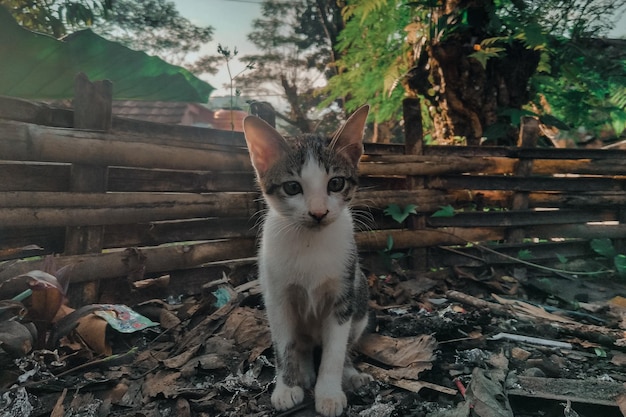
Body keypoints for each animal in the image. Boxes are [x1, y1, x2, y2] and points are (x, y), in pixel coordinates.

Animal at [243, 106, 370, 416]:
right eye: (292, 188)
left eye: (336, 183)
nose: (318, 213)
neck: (310, 241)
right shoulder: (277, 297)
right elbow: (285, 344)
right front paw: (287, 387)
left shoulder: (344, 295)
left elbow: (335, 350)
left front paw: (329, 393)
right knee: (301, 343)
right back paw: (304, 370)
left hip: (360, 293)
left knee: (344, 344)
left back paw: (350, 373)